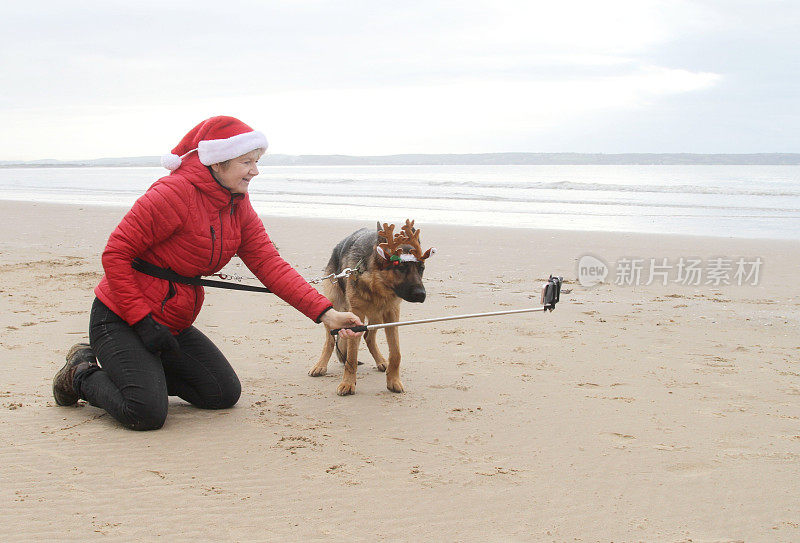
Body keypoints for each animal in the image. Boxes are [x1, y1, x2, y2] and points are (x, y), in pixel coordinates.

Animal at [310, 220, 434, 396]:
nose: (421, 295)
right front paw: (348, 383)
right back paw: (320, 365)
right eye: (401, 267)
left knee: (368, 337)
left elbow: (396, 352)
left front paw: (393, 380)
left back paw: (382, 361)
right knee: (330, 341)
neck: (377, 284)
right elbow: (352, 355)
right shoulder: (356, 314)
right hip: (336, 310)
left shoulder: (392, 314)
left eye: (421, 268)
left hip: (377, 316)